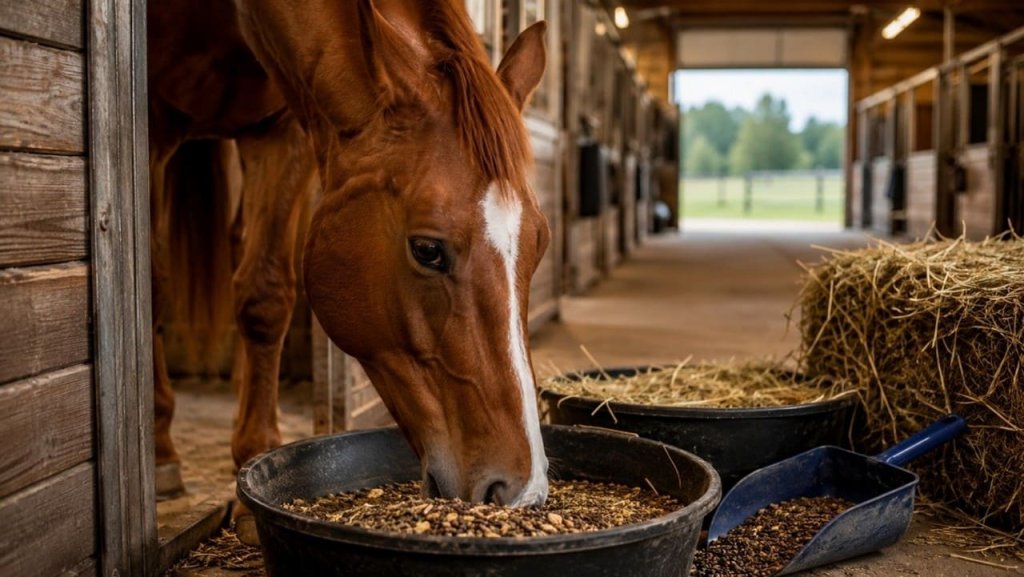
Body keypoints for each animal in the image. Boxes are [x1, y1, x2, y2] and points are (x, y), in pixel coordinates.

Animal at [148, 0, 552, 542]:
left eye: (539, 244)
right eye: (427, 250)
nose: (520, 491)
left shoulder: (282, 134)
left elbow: (264, 296)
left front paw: (255, 456)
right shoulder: (153, 126)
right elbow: (151, 287)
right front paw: (160, 451)